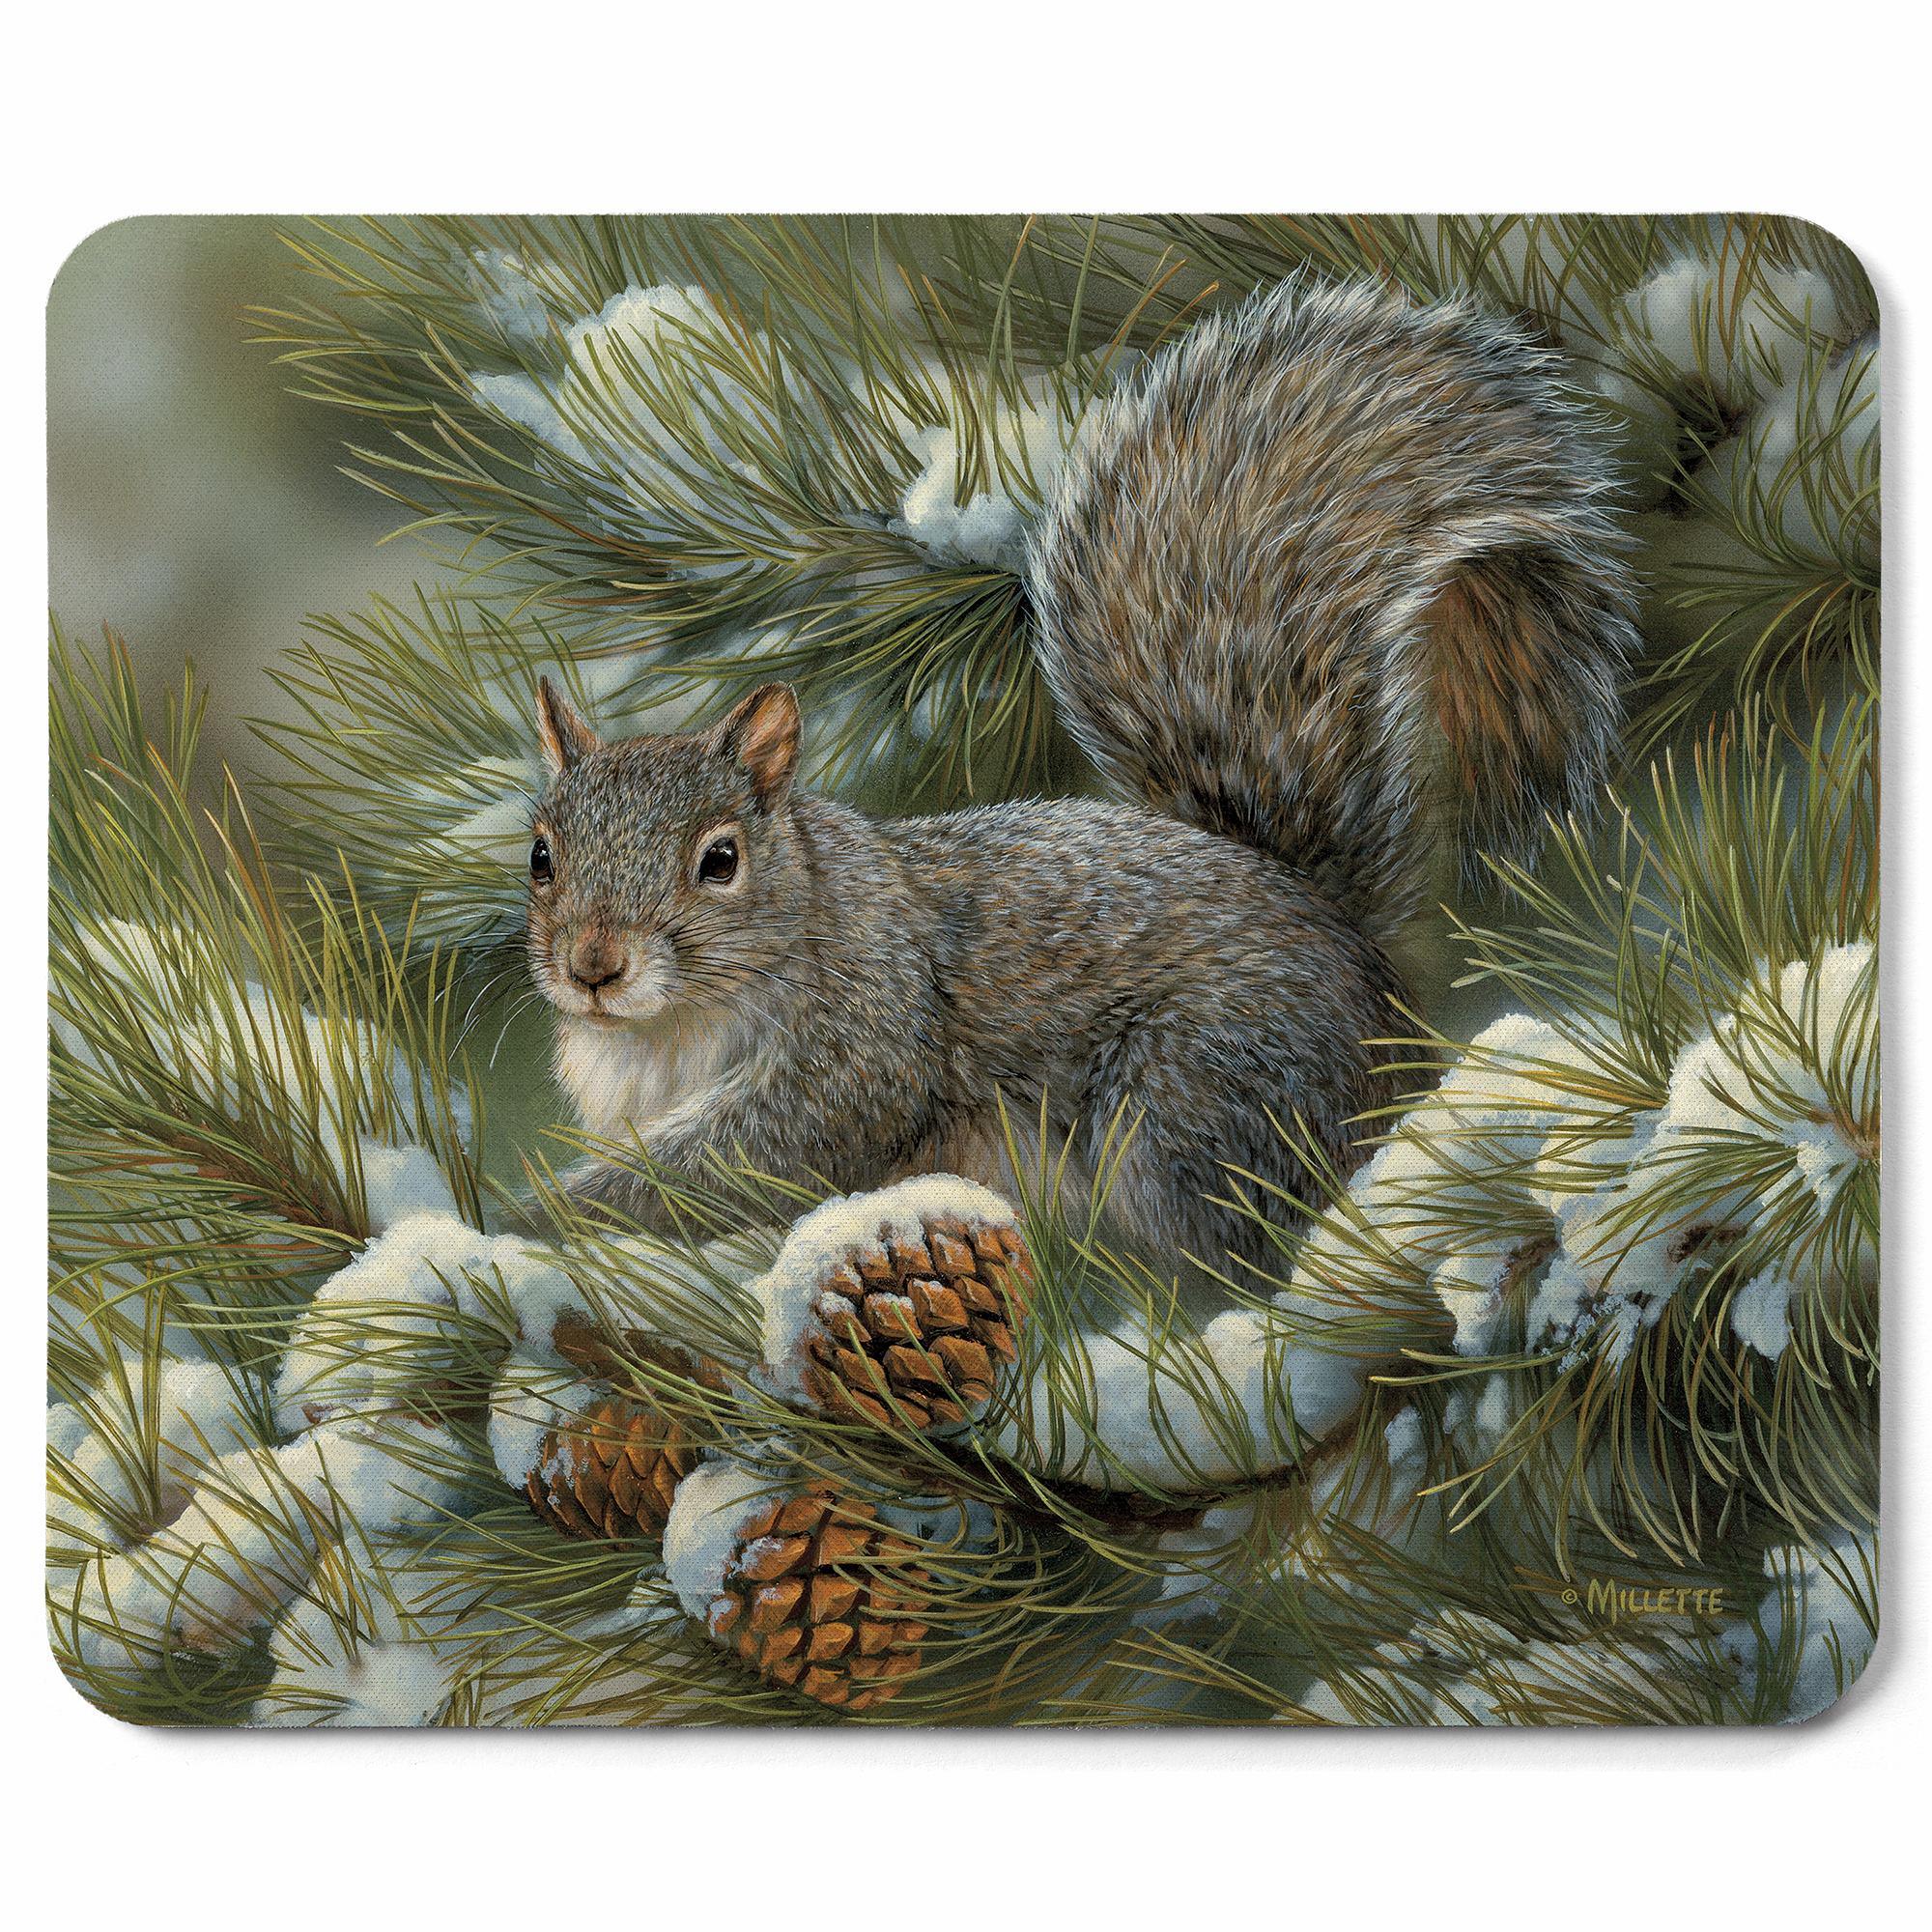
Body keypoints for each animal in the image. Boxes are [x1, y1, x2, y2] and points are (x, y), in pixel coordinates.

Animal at [524, 276, 1635, 1278]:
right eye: (540, 856)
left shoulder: (864, 1038)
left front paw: (552, 1213)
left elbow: (753, 1156)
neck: (666, 1030)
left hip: (1195, 1098)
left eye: (719, 860)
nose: (592, 967)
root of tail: (1363, 969)